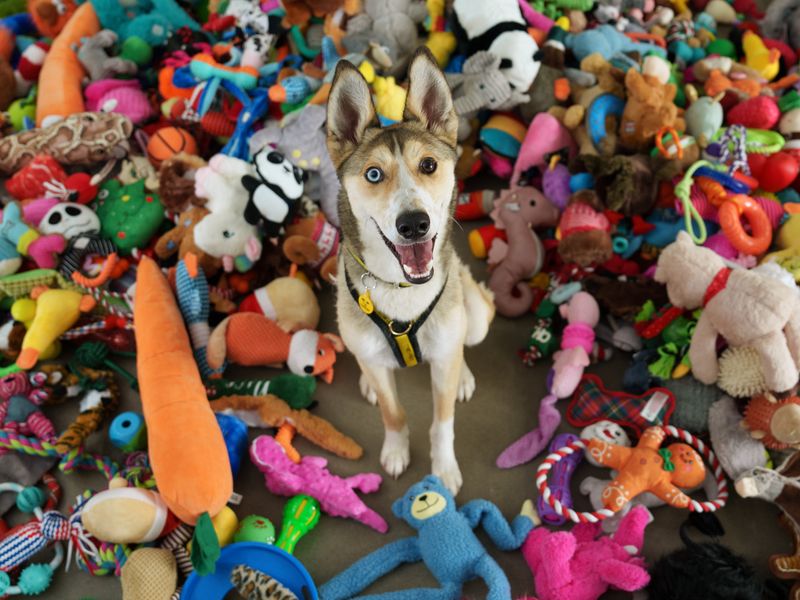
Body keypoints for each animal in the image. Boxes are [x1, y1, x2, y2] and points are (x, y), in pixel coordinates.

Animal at [324, 49, 494, 494]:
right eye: (373, 174)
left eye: (429, 165)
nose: (414, 224)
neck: (401, 289)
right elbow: (393, 413)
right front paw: (397, 450)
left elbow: (442, 422)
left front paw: (444, 470)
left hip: (476, 316)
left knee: (461, 342)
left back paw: (463, 373)